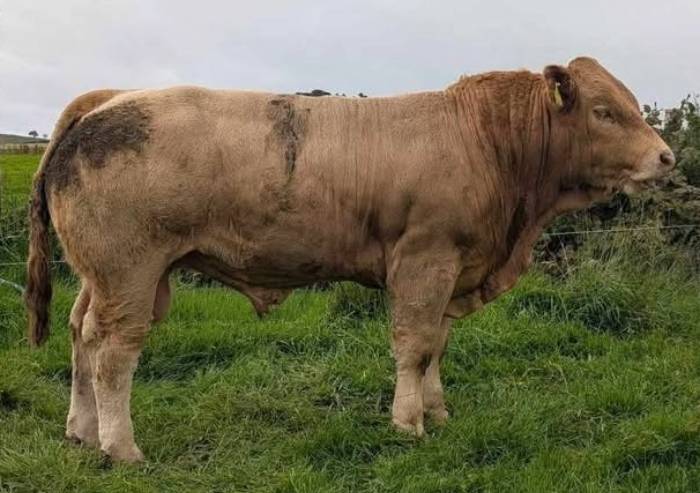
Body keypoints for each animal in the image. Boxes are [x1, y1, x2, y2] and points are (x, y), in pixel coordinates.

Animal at [25, 57, 674, 462]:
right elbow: (414, 346)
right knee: (113, 353)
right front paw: (408, 423)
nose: (667, 157)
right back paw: (120, 447)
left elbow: (436, 346)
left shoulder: (452, 271)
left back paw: (81, 432)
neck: (487, 142)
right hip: (129, 272)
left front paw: (437, 413)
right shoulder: (425, 261)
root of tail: (109, 100)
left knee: (80, 335)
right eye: (605, 112)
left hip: (102, 275)